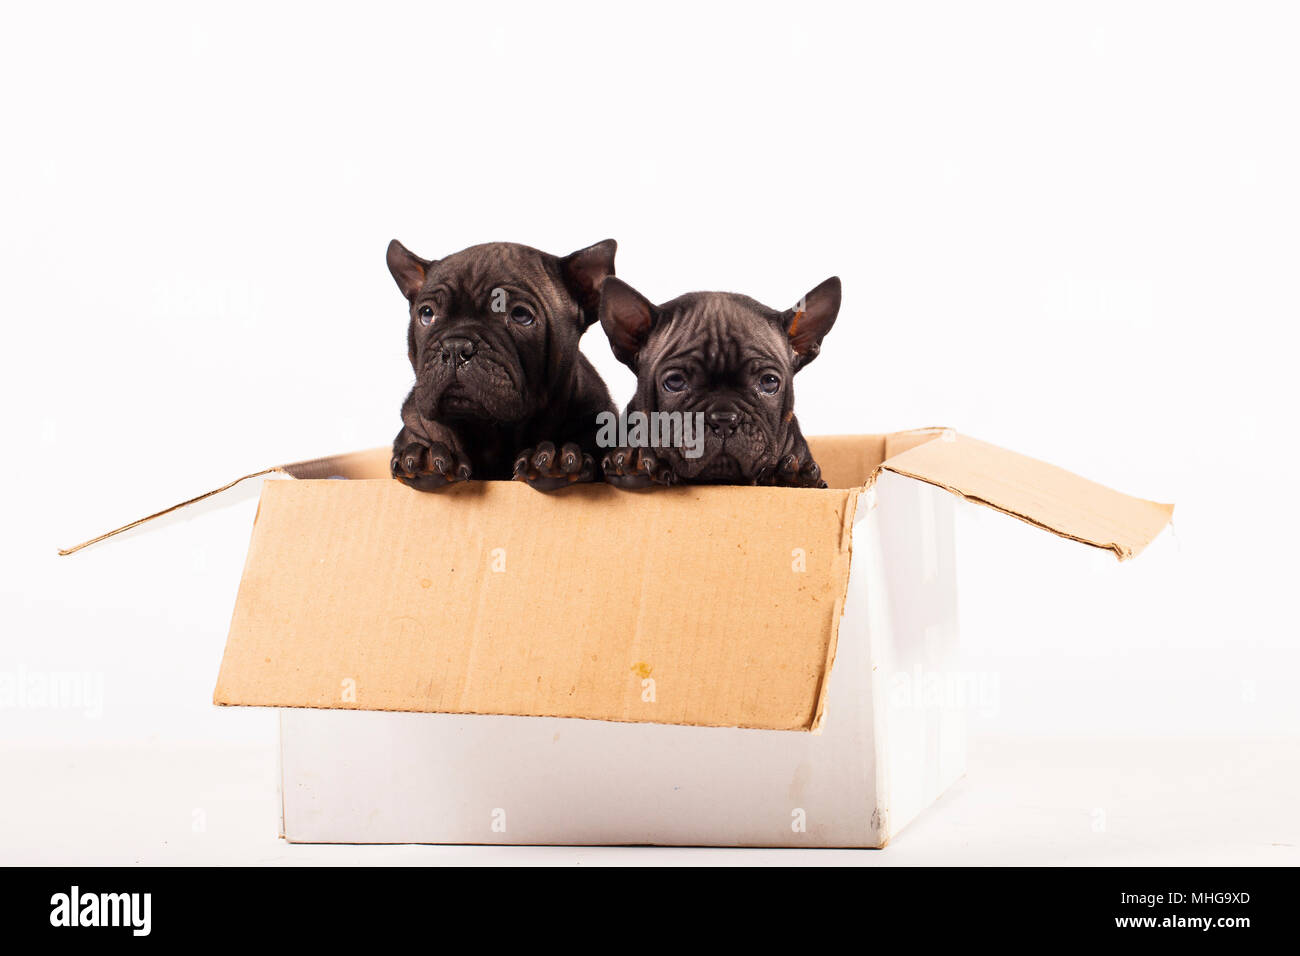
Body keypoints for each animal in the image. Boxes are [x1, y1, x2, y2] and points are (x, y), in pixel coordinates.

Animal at [384, 239, 618, 494]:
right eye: (427, 314)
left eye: (521, 315)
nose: (455, 347)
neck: (491, 433)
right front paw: (424, 458)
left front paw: (555, 458)